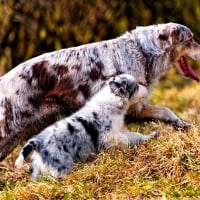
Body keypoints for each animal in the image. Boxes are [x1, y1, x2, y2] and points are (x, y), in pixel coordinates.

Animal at [15, 74, 159, 180]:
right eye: (136, 87)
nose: (147, 87)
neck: (112, 102)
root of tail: (36, 141)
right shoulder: (109, 136)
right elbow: (126, 140)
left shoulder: (118, 130)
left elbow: (135, 135)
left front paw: (151, 135)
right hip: (61, 164)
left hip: (38, 167)